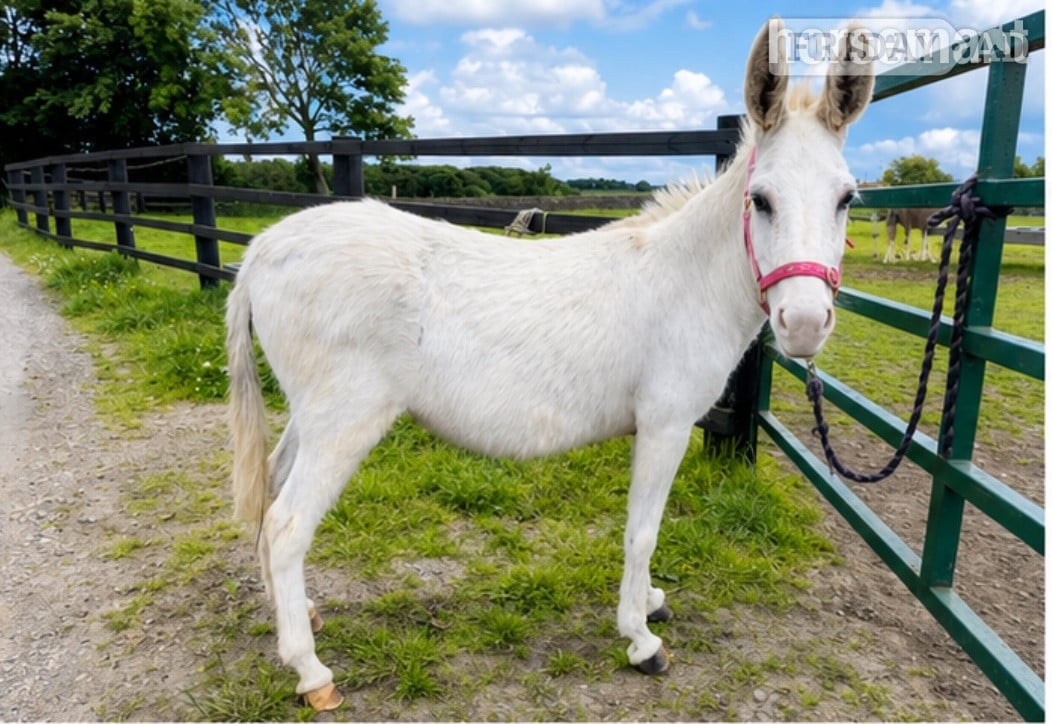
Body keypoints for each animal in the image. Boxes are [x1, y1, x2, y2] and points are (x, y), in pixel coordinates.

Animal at [225, 18, 874, 710]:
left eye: (847, 199)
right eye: (761, 201)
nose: (803, 326)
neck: (686, 282)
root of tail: (263, 247)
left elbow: (645, 528)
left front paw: (649, 601)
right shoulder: (666, 424)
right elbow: (644, 529)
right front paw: (640, 639)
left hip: (312, 414)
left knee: (270, 494)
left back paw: (298, 616)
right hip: (346, 419)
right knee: (288, 524)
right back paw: (310, 672)